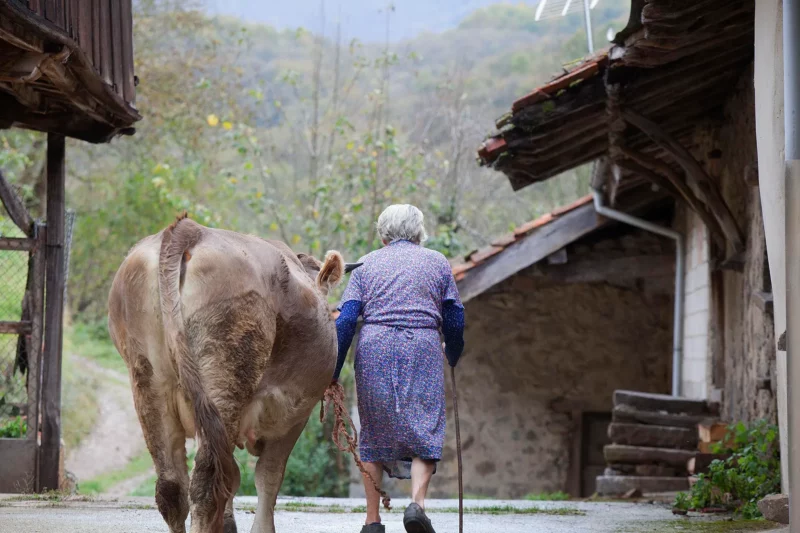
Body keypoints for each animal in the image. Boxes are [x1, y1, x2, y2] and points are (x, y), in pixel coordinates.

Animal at [107, 213, 344, 532]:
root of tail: (191, 230)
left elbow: (233, 478)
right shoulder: (293, 417)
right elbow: (268, 477)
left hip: (149, 381)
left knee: (173, 488)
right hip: (226, 374)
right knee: (206, 482)